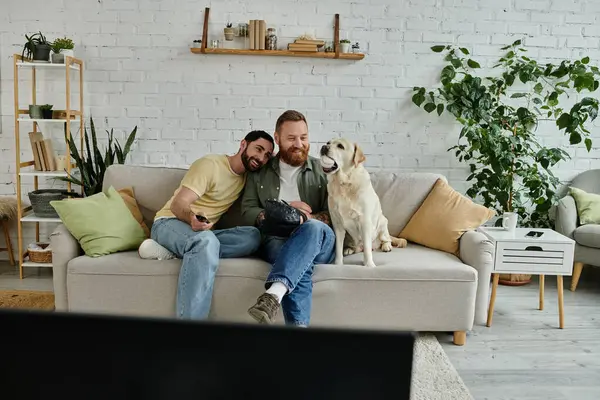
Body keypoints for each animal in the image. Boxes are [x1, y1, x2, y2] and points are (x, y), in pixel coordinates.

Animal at [318, 138, 408, 268]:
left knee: (386, 239)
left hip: (383, 222)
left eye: (340, 146)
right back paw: (350, 249)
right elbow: (338, 249)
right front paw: (338, 264)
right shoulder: (337, 224)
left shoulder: (364, 221)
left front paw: (369, 265)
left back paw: (386, 246)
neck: (343, 183)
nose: (324, 147)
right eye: (328, 142)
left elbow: (367, 248)